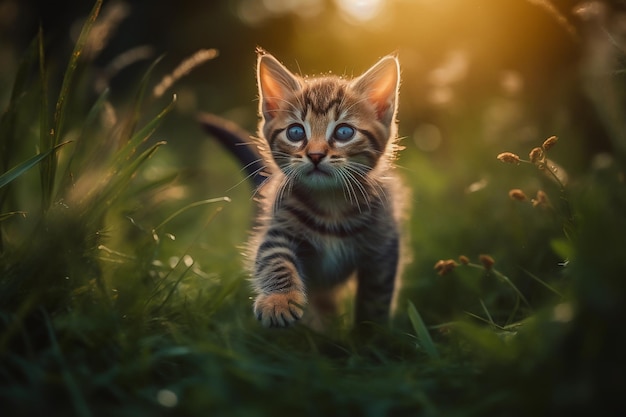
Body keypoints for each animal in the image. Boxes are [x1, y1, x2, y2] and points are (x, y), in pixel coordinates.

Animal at [202, 49, 404, 328]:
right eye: (296, 132)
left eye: (344, 132)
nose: (316, 154)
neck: (332, 205)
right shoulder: (280, 226)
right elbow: (274, 259)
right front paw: (279, 301)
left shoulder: (383, 246)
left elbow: (376, 299)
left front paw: (370, 334)